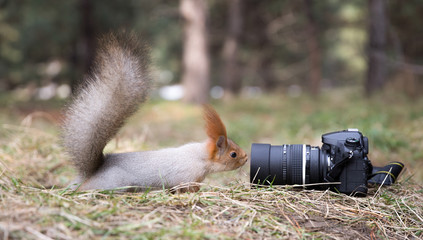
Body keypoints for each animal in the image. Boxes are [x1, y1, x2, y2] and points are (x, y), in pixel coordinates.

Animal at [63, 32, 248, 192]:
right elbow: (187, 187)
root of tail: (93, 172)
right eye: (233, 154)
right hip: (116, 183)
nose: (246, 157)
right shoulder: (186, 177)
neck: (199, 156)